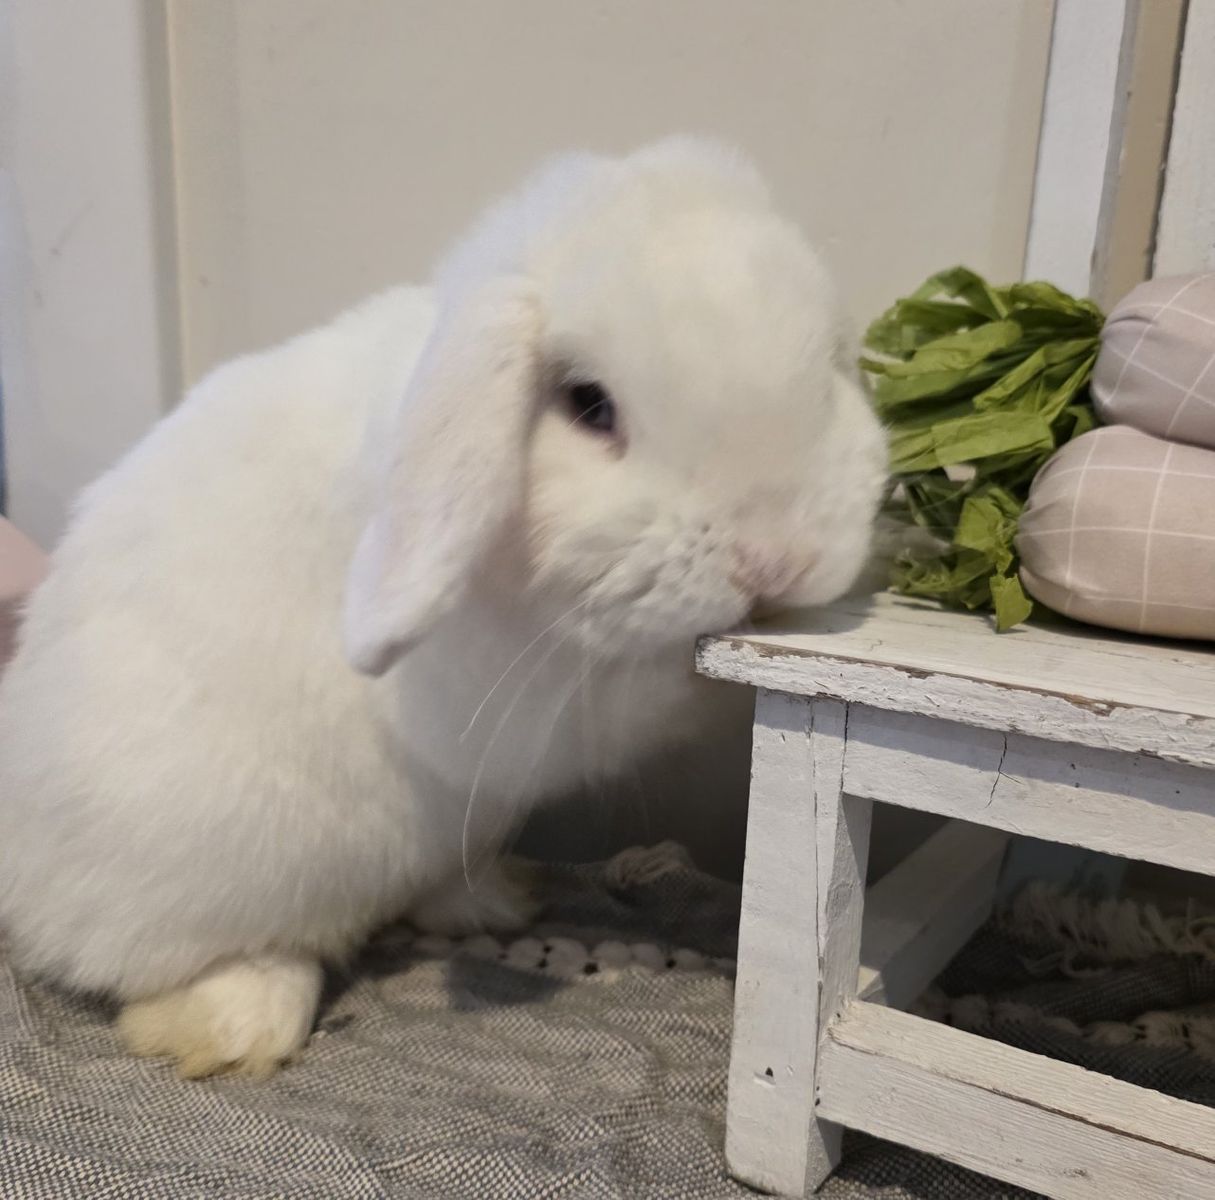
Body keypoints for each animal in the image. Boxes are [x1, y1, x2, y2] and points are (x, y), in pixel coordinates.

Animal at [0, 137, 887, 1079]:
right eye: (587, 404)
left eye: (831, 373)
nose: (776, 560)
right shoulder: (538, 699)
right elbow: (656, 693)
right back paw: (230, 1030)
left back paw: (500, 897)